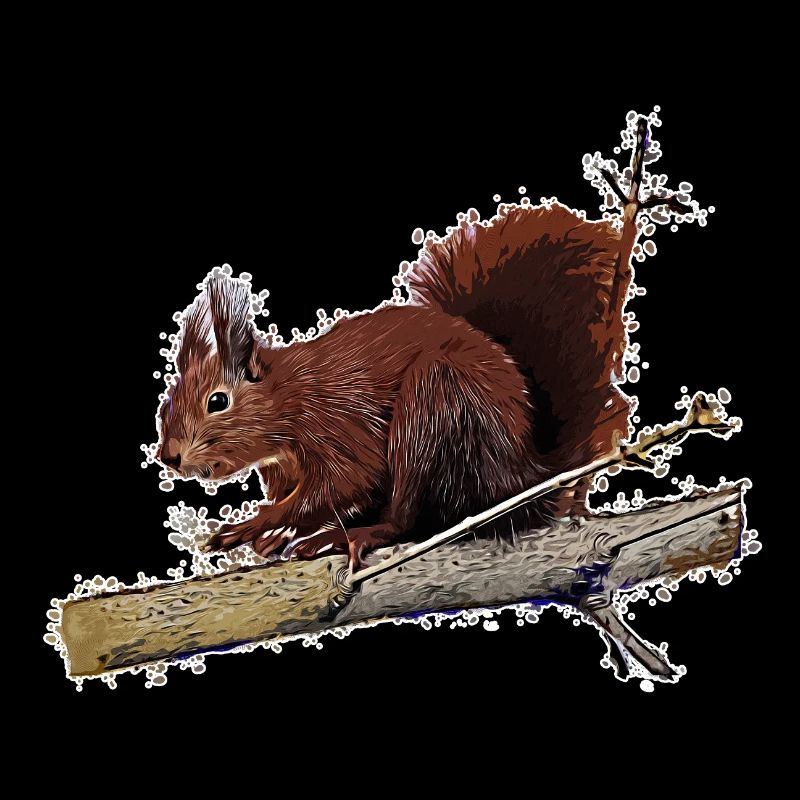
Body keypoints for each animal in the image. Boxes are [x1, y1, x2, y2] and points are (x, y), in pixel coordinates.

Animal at [158, 118, 680, 570]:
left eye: (217, 401)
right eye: (167, 404)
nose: (169, 457)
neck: (287, 396)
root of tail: (525, 473)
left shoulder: (335, 424)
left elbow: (346, 481)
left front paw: (251, 526)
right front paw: (269, 535)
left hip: (437, 408)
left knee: (409, 517)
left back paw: (356, 535)